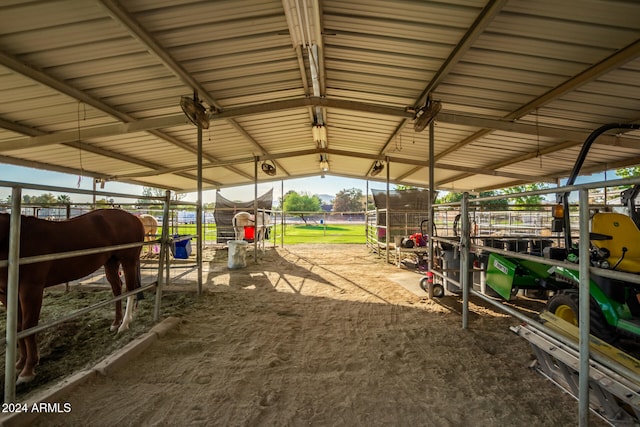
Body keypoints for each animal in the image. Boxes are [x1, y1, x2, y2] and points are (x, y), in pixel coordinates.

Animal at [0, 210, 144, 384]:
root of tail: (135, 218)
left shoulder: (31, 289)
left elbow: (28, 327)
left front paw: (27, 370)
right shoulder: (6, 293)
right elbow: (18, 327)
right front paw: (20, 363)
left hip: (128, 260)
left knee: (130, 290)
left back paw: (124, 325)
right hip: (111, 262)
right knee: (117, 290)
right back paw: (116, 323)